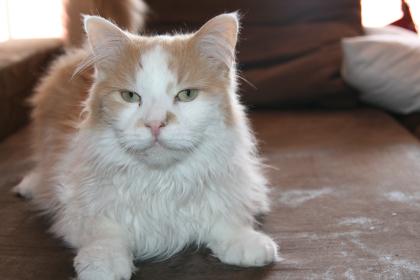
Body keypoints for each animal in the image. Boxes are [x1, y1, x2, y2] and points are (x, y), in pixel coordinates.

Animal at [13, 12, 280, 278]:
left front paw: (245, 241)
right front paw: (104, 263)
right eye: (130, 96)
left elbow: (226, 217)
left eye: (187, 95)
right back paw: (30, 185)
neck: (161, 181)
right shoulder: (80, 205)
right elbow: (104, 232)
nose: (154, 124)